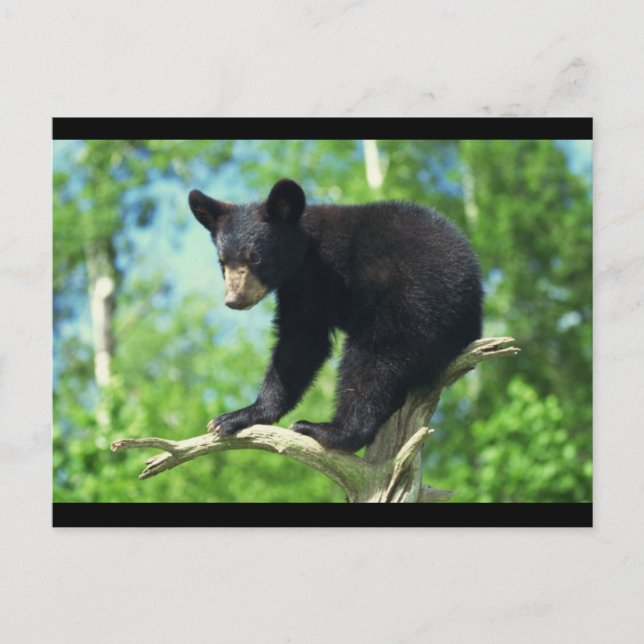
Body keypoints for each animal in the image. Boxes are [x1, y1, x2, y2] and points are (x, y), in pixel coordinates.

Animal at [189, 178, 483, 453]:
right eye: (222, 262)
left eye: (255, 258)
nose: (234, 300)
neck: (306, 251)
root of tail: (472, 317)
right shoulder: (298, 287)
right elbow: (301, 340)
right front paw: (247, 413)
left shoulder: (321, 275)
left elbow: (306, 341)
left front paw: (234, 416)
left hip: (410, 308)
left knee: (371, 363)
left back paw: (329, 430)